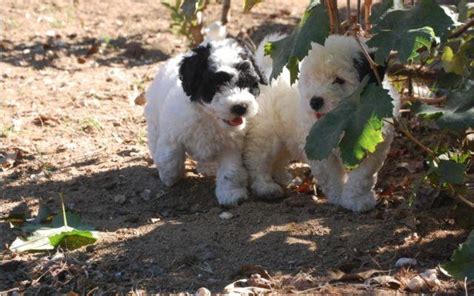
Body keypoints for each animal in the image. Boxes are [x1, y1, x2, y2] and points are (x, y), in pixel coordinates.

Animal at [144, 38, 266, 206]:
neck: (209, 117)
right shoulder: (172, 133)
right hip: (154, 119)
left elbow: (231, 171)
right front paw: (169, 176)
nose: (240, 107)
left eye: (248, 83)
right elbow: (170, 157)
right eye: (216, 85)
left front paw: (231, 194)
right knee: (154, 140)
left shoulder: (231, 147)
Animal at [244, 34, 400, 212]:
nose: (315, 101)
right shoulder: (318, 149)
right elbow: (331, 176)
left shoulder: (373, 147)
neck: (342, 120)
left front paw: (356, 199)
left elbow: (363, 175)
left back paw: (284, 178)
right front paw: (339, 196)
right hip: (266, 134)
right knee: (258, 160)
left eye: (339, 80)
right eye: (310, 79)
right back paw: (266, 187)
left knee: (279, 158)